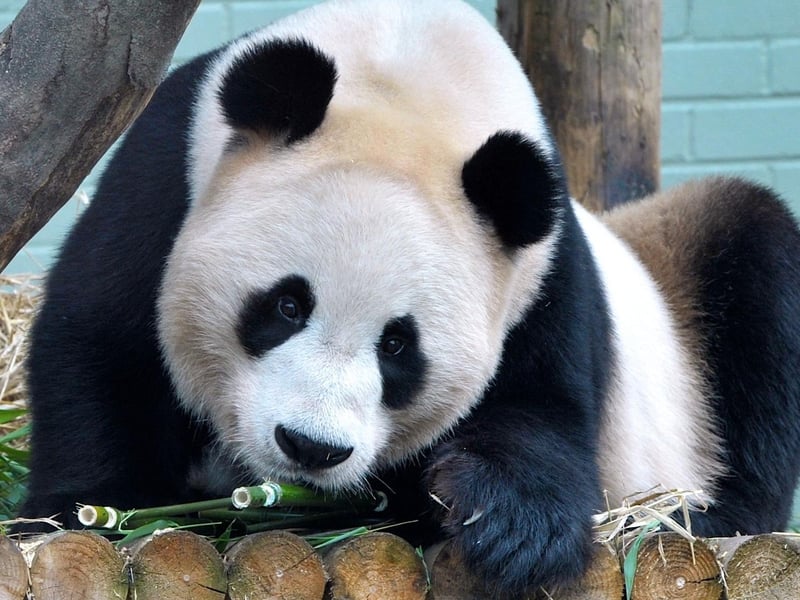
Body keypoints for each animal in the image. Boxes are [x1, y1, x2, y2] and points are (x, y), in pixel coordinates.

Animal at [19, 0, 800, 595]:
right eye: (286, 306)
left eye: (399, 346)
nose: (310, 446)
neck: (407, 79)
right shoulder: (166, 173)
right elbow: (102, 343)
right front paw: (90, 511)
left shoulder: (538, 278)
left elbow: (543, 415)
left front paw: (503, 524)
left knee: (759, 270)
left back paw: (710, 515)